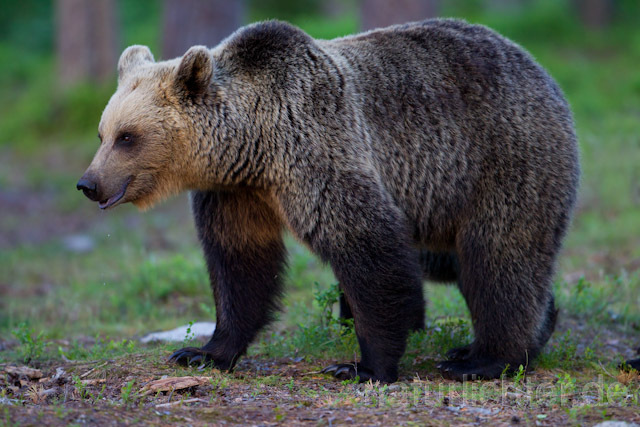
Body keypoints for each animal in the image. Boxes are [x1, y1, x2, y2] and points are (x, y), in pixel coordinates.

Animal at [79, 18, 580, 382]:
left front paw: (362, 366)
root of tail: (541, 72)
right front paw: (202, 352)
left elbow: (369, 251)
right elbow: (241, 267)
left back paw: (482, 359)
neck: (254, 145)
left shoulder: (318, 151)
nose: (88, 183)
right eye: (102, 133)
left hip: (499, 163)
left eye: (128, 136)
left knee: (497, 259)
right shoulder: (235, 194)